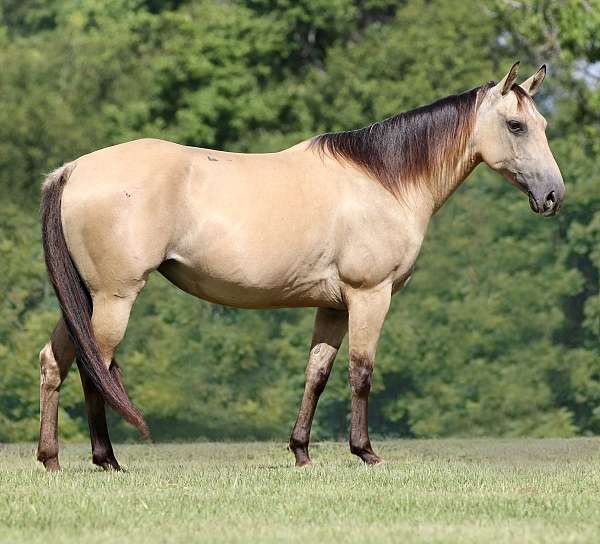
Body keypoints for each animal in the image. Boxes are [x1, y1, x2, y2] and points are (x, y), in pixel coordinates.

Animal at [37, 63, 564, 470]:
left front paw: (302, 452)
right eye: (516, 126)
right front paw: (365, 452)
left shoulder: (332, 306)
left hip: (84, 302)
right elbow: (361, 371)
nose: (553, 196)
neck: (383, 180)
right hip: (114, 298)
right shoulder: (369, 295)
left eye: (541, 124)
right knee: (94, 368)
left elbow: (318, 373)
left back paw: (51, 459)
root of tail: (73, 170)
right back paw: (107, 459)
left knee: (54, 362)